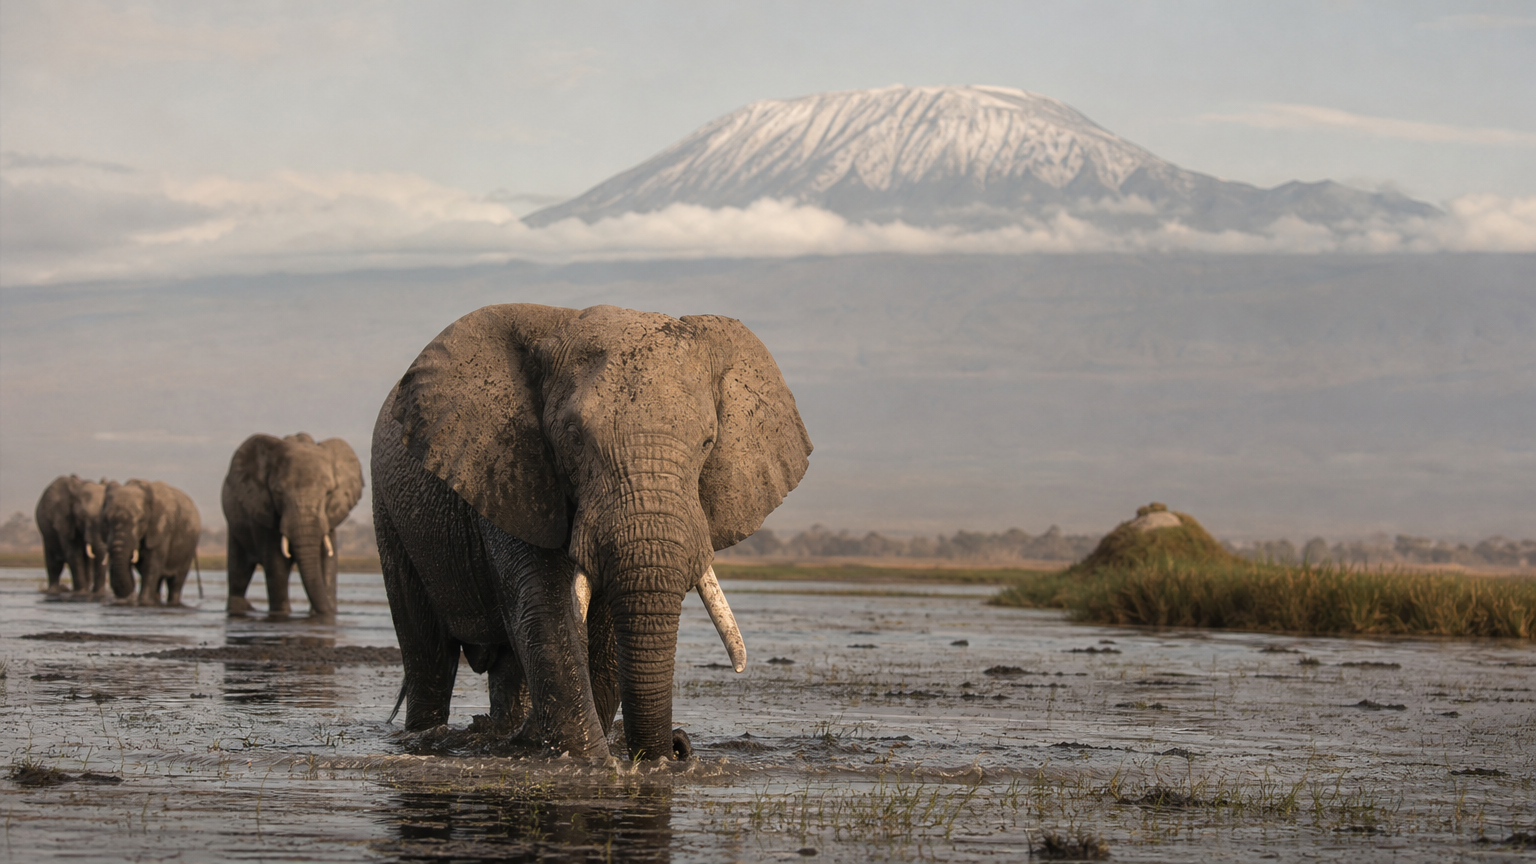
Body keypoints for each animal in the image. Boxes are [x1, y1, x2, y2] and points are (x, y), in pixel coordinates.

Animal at [221, 433, 364, 617]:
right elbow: (277, 564)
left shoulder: (329, 518)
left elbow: (327, 561)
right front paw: (281, 614)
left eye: (328, 493)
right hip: (235, 527)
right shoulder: (265, 513)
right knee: (239, 573)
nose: (332, 611)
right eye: (278, 493)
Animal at [372, 303, 811, 761]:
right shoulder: (510, 474)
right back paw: (427, 738)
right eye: (574, 438)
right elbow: (548, 612)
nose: (677, 748)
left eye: (708, 442)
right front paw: (588, 761)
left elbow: (604, 633)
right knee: (427, 651)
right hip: (391, 510)